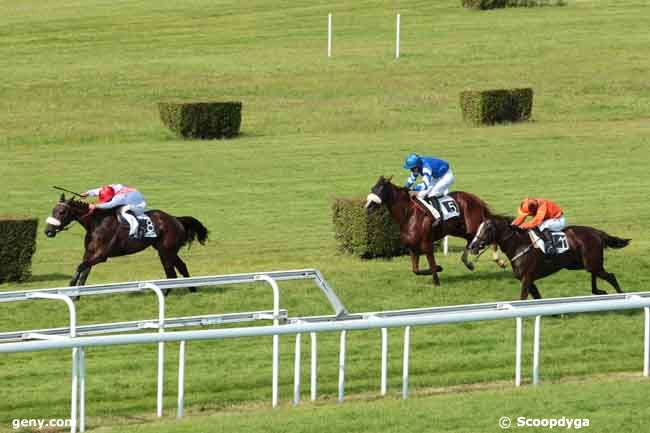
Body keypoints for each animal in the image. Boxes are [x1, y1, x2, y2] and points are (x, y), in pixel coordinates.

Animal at [45, 195, 208, 294]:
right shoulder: (90, 253)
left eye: (62, 212)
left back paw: (166, 293)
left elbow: (80, 267)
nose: (48, 231)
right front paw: (76, 295)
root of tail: (176, 219)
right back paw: (192, 289)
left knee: (171, 274)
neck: (97, 224)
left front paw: (71, 291)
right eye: (53, 210)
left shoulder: (101, 256)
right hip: (168, 251)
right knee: (181, 267)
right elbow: (84, 272)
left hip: (165, 251)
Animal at [362, 174, 504, 286]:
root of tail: (475, 199)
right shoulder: (413, 248)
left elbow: (431, 264)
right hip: (460, 230)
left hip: (473, 226)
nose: (368, 207)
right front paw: (439, 268)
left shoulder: (427, 244)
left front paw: (437, 280)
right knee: (471, 240)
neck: (409, 215)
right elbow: (416, 270)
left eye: (381, 189)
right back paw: (469, 262)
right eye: (372, 188)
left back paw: (499, 261)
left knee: (490, 235)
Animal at [466, 215, 628, 298]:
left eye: (487, 229)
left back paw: (621, 294)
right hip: (582, 264)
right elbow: (537, 297)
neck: (519, 244)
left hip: (591, 262)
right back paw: (598, 291)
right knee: (595, 274)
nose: (472, 246)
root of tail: (597, 233)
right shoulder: (529, 279)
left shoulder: (526, 278)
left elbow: (523, 298)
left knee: (611, 276)